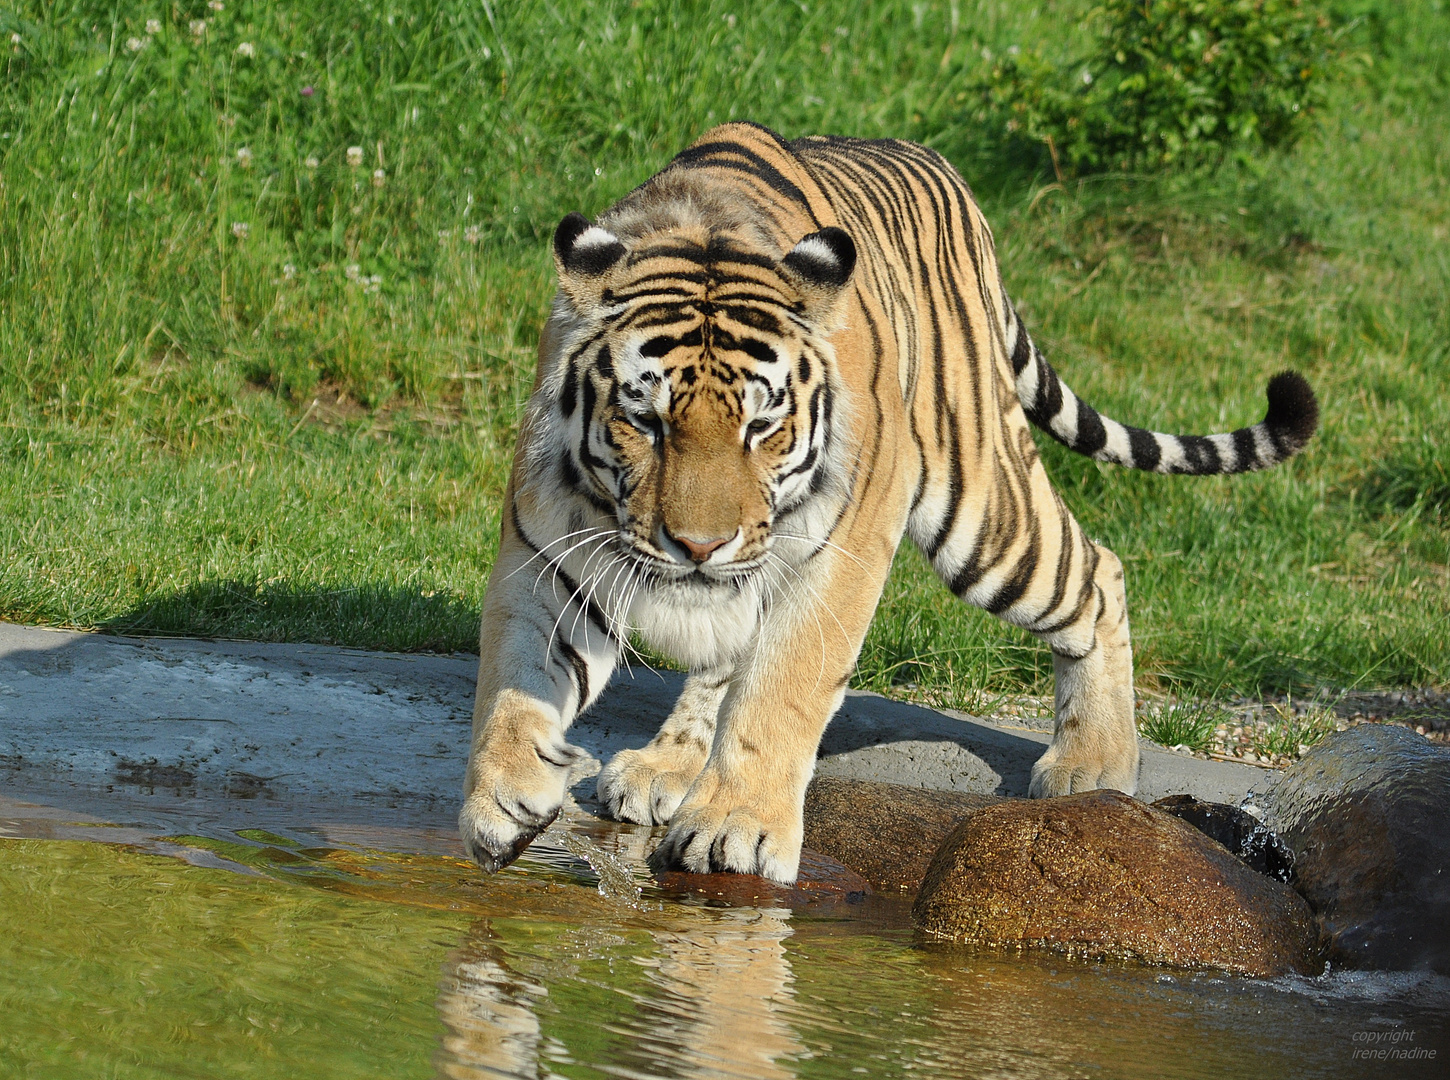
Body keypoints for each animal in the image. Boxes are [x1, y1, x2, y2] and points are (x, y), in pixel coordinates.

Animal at [458, 122, 1322, 881]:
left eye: (761, 426)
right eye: (645, 420)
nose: (699, 546)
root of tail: (939, 168)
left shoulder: (840, 550)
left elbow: (782, 691)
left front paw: (736, 829)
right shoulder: (548, 547)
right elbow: (514, 680)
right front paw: (505, 797)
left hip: (984, 511)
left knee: (1097, 570)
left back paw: (1094, 763)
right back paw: (665, 766)